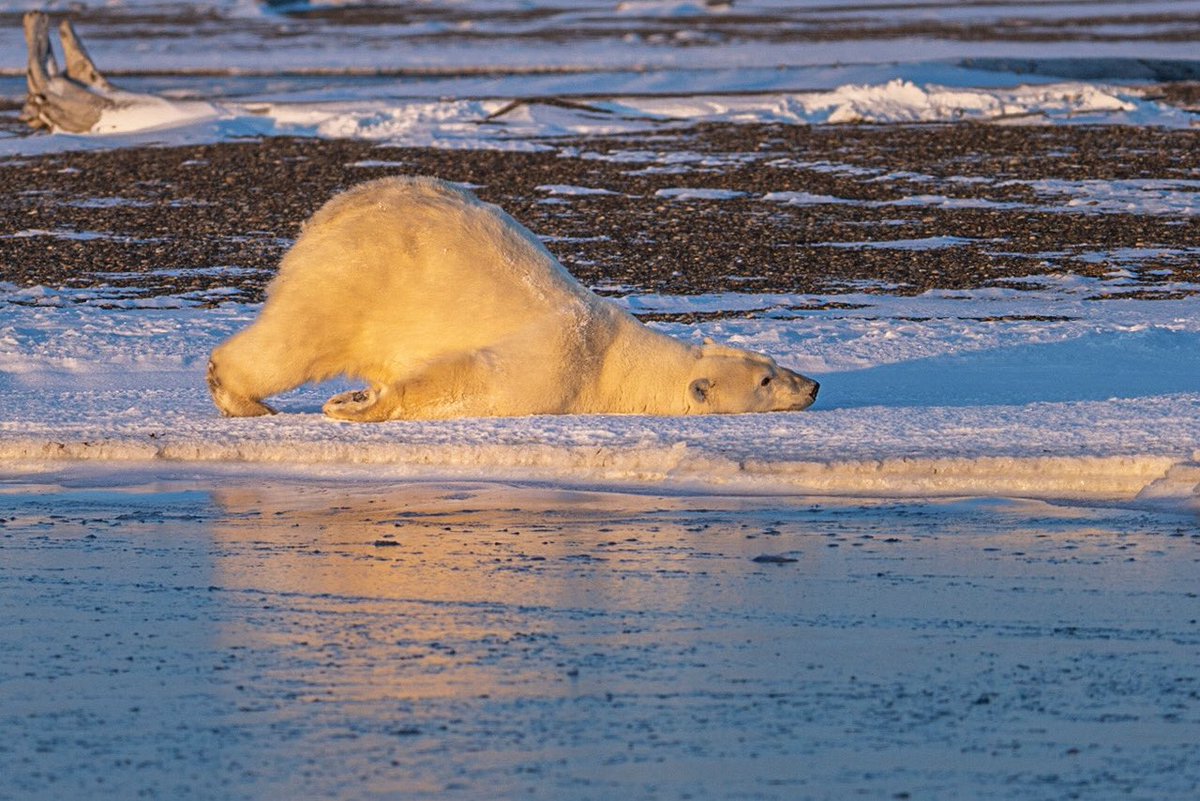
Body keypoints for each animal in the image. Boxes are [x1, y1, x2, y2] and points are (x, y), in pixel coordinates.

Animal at [206, 177, 819, 421]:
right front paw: (351, 406)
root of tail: (334, 210)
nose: (813, 386)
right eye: (767, 381)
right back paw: (245, 399)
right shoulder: (559, 362)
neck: (616, 359)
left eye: (772, 363)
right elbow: (473, 382)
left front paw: (355, 396)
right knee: (295, 343)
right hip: (355, 276)